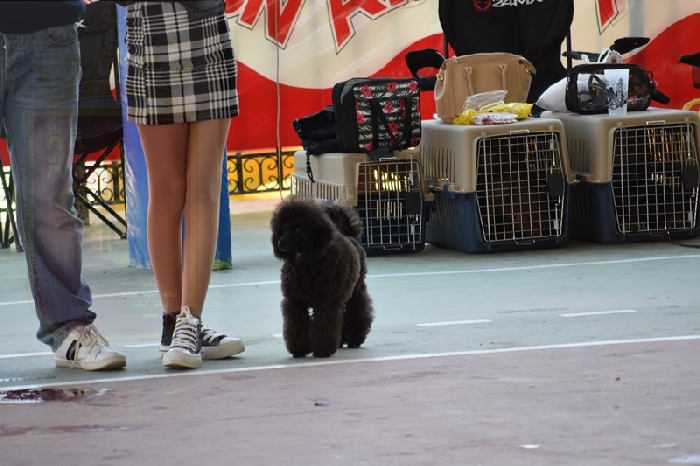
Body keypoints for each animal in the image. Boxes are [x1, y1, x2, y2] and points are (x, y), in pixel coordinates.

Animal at [271, 195, 374, 358]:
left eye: (297, 228)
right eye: (282, 229)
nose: (280, 243)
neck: (306, 263)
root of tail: (349, 236)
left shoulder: (325, 302)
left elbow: (324, 325)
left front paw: (322, 350)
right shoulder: (295, 302)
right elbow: (296, 325)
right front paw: (299, 349)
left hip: (356, 291)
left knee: (358, 310)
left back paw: (353, 339)